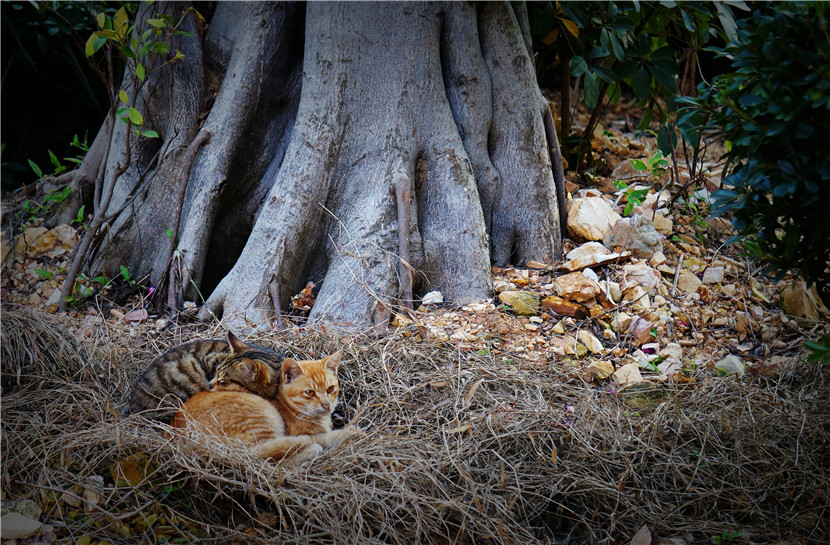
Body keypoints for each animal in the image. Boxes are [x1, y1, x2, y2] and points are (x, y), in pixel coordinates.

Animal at [172, 350, 358, 462]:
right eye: (310, 393)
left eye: (330, 389)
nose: (327, 406)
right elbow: (326, 436)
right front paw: (350, 432)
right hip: (263, 418)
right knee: (264, 460)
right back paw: (310, 450)